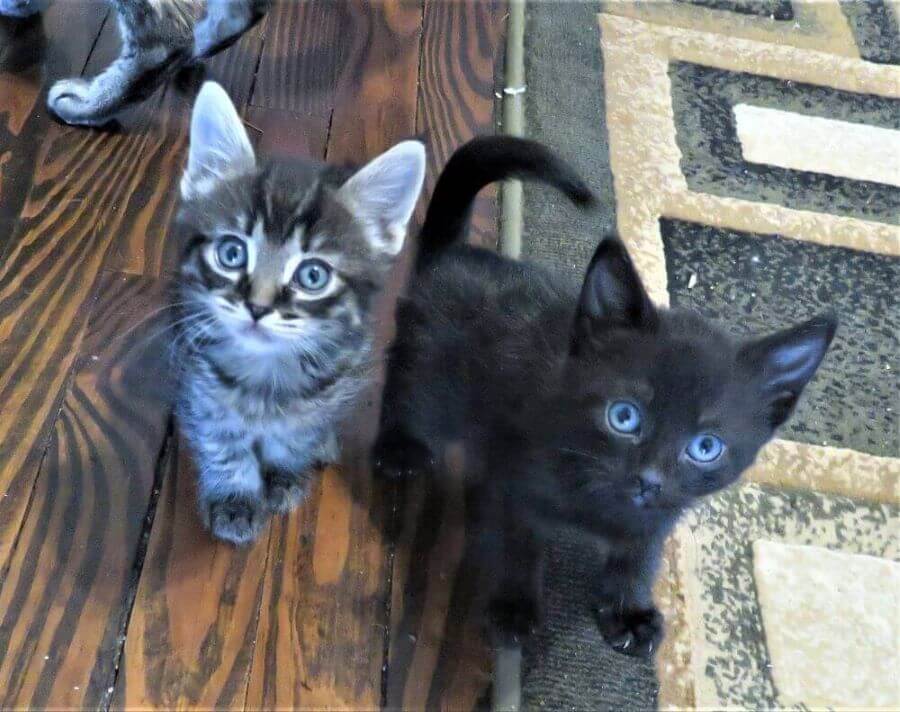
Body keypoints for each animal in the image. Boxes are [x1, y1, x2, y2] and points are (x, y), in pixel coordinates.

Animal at [177, 80, 428, 544]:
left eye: (313, 275)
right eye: (231, 253)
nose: (258, 307)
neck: (264, 372)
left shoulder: (331, 381)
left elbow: (298, 432)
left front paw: (286, 473)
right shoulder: (199, 379)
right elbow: (221, 439)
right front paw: (234, 496)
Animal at [374, 138, 836, 656]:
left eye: (706, 447)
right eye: (624, 416)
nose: (649, 480)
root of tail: (455, 253)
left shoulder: (660, 515)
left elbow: (639, 556)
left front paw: (628, 610)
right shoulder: (507, 475)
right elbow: (516, 541)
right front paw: (513, 607)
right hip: (430, 367)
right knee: (406, 385)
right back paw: (399, 447)